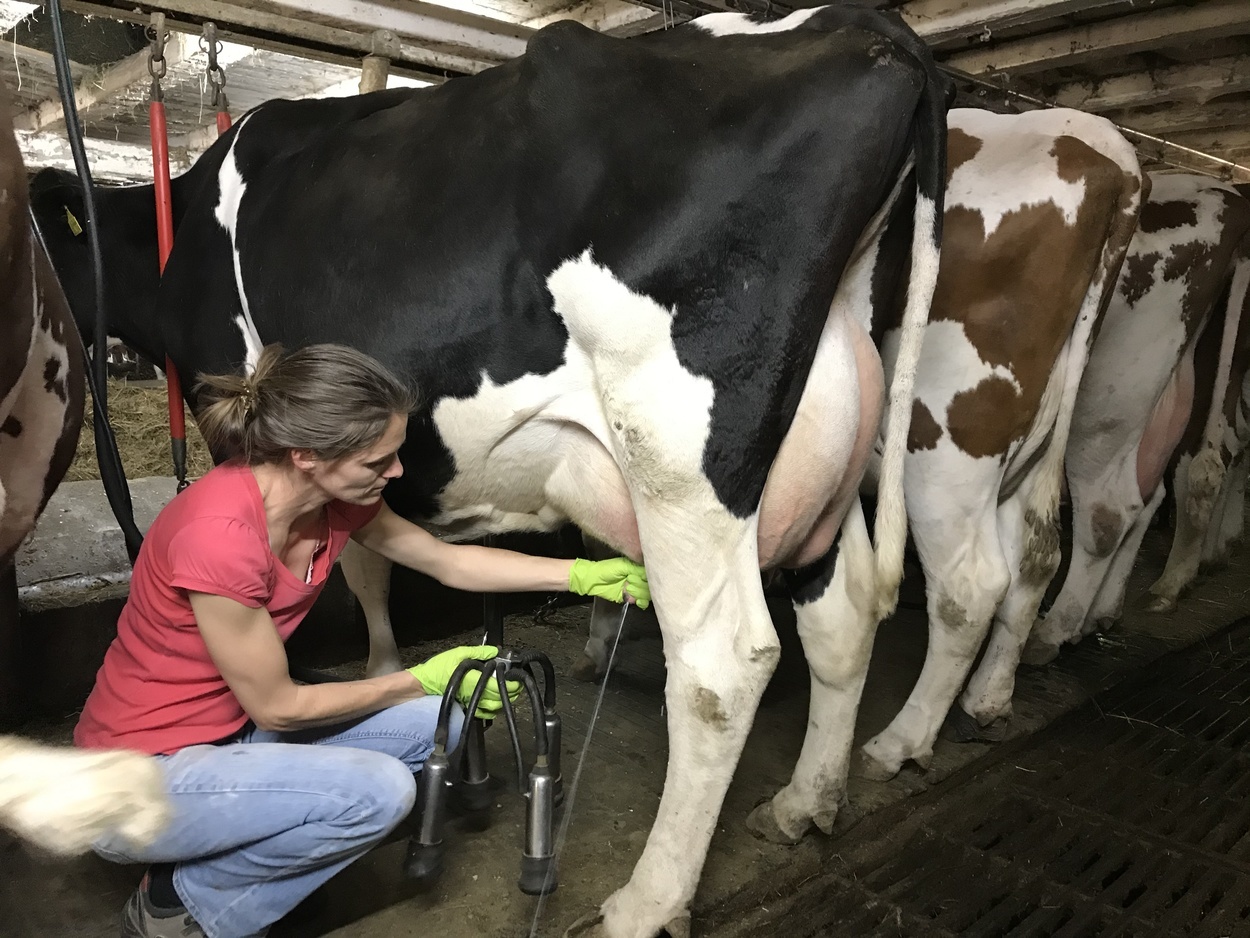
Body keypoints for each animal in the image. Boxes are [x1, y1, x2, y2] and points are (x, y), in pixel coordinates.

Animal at [30, 8, 950, 935]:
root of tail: (869, 25)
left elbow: (349, 567)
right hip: (825, 448)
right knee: (841, 617)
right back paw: (804, 804)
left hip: (679, 451)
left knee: (720, 668)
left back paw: (646, 900)